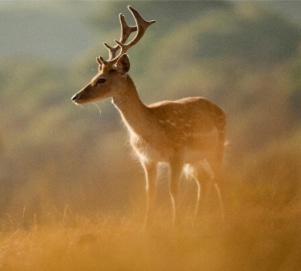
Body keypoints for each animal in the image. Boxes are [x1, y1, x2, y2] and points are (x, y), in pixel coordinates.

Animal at [71, 6, 225, 226]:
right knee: (205, 179)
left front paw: (176, 226)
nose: (75, 97)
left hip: (217, 147)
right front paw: (147, 228)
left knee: (220, 180)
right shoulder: (147, 159)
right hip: (196, 159)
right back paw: (197, 220)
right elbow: (150, 192)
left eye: (102, 79)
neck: (150, 132)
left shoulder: (177, 154)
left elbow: (173, 190)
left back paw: (225, 218)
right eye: (93, 76)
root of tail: (221, 110)